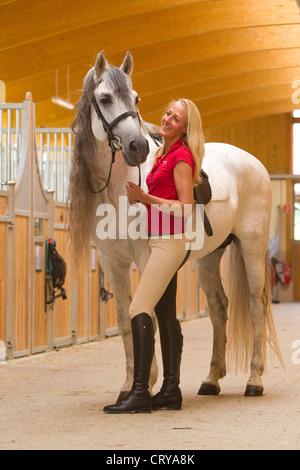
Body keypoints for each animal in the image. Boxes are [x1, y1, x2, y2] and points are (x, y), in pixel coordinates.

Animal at [69, 50, 282, 400]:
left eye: (136, 98)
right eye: (104, 98)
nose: (138, 147)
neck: (116, 188)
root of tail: (255, 164)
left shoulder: (147, 257)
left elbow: (148, 312)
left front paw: (147, 384)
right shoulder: (112, 262)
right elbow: (125, 318)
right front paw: (127, 386)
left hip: (251, 246)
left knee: (256, 305)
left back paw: (255, 380)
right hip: (210, 256)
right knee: (219, 307)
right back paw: (211, 379)